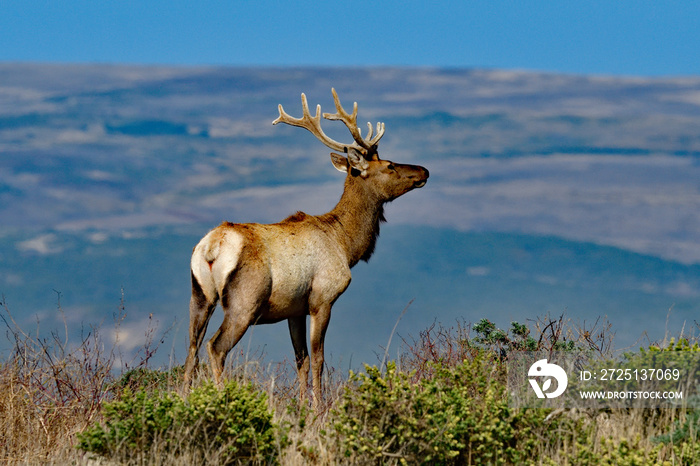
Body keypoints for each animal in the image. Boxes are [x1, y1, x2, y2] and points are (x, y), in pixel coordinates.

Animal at [183, 89, 430, 406]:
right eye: (389, 165)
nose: (425, 170)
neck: (345, 244)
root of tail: (212, 247)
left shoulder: (294, 309)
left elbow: (300, 359)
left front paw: (303, 405)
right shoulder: (322, 298)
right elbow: (319, 358)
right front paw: (319, 408)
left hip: (200, 295)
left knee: (191, 349)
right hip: (244, 302)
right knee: (215, 347)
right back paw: (221, 398)